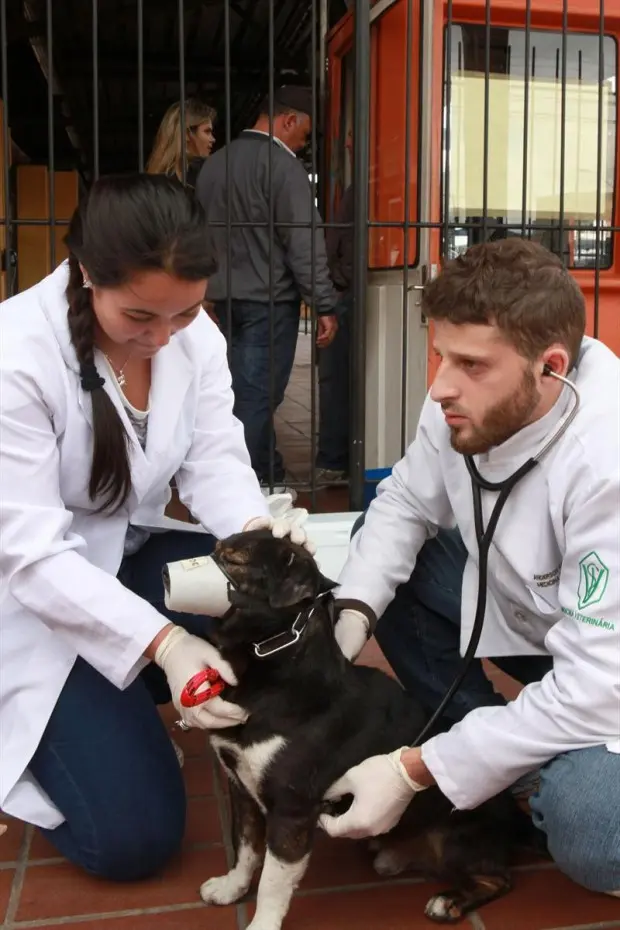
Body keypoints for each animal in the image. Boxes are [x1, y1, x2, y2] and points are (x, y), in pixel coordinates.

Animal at [199, 528, 544, 928]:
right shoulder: (241, 786)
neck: (277, 674)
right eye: (215, 548)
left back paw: (448, 901)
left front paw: (261, 924)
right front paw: (230, 888)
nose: (167, 574)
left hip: (455, 840)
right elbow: (245, 848)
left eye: (233, 561)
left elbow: (272, 879)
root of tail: (516, 817)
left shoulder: (291, 812)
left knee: (499, 878)